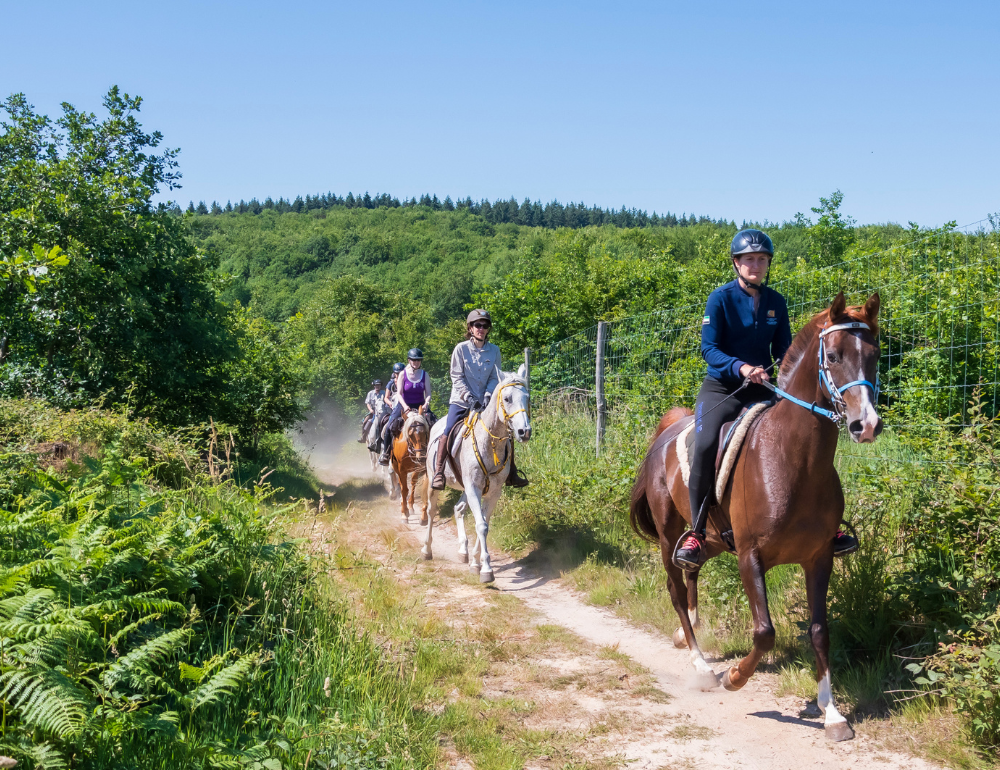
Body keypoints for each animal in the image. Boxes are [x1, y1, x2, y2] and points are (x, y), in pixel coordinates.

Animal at [422, 366, 532, 584]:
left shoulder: (493, 491)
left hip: (466, 487)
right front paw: (486, 570)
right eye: (507, 398)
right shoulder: (474, 488)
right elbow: (481, 525)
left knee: (458, 508)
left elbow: (485, 522)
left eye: (527, 397)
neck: (489, 443)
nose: (524, 431)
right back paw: (427, 550)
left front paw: (475, 561)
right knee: (431, 511)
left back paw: (463, 552)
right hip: (434, 483)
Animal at [632, 292, 884, 740]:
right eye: (833, 356)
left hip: (713, 539)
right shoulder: (751, 557)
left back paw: (686, 633)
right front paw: (735, 677)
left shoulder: (818, 558)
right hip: (667, 535)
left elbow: (819, 631)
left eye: (873, 355)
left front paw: (833, 714)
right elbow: (765, 632)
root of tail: (667, 430)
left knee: (693, 572)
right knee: (676, 588)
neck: (794, 460)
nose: (866, 424)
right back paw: (701, 665)